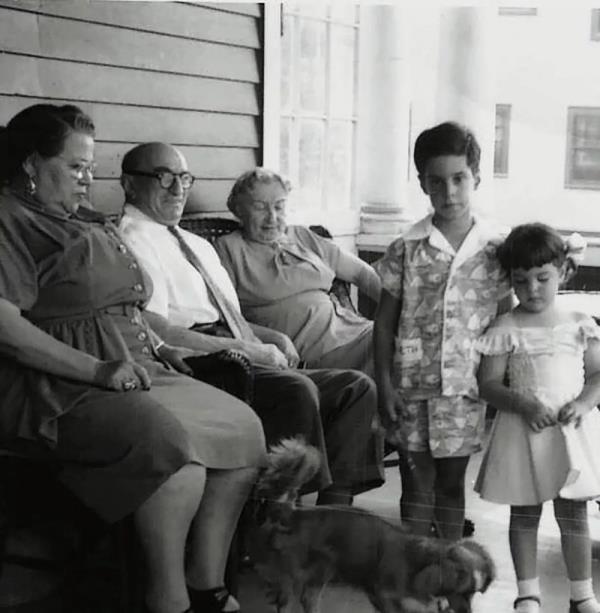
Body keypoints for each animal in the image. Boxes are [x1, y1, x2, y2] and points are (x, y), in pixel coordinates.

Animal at [248, 438, 496, 608]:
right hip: (295, 575)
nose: (467, 612)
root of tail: (292, 512)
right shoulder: (384, 595)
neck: (418, 562)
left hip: (321, 571)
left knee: (305, 598)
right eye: (460, 592)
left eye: (474, 594)